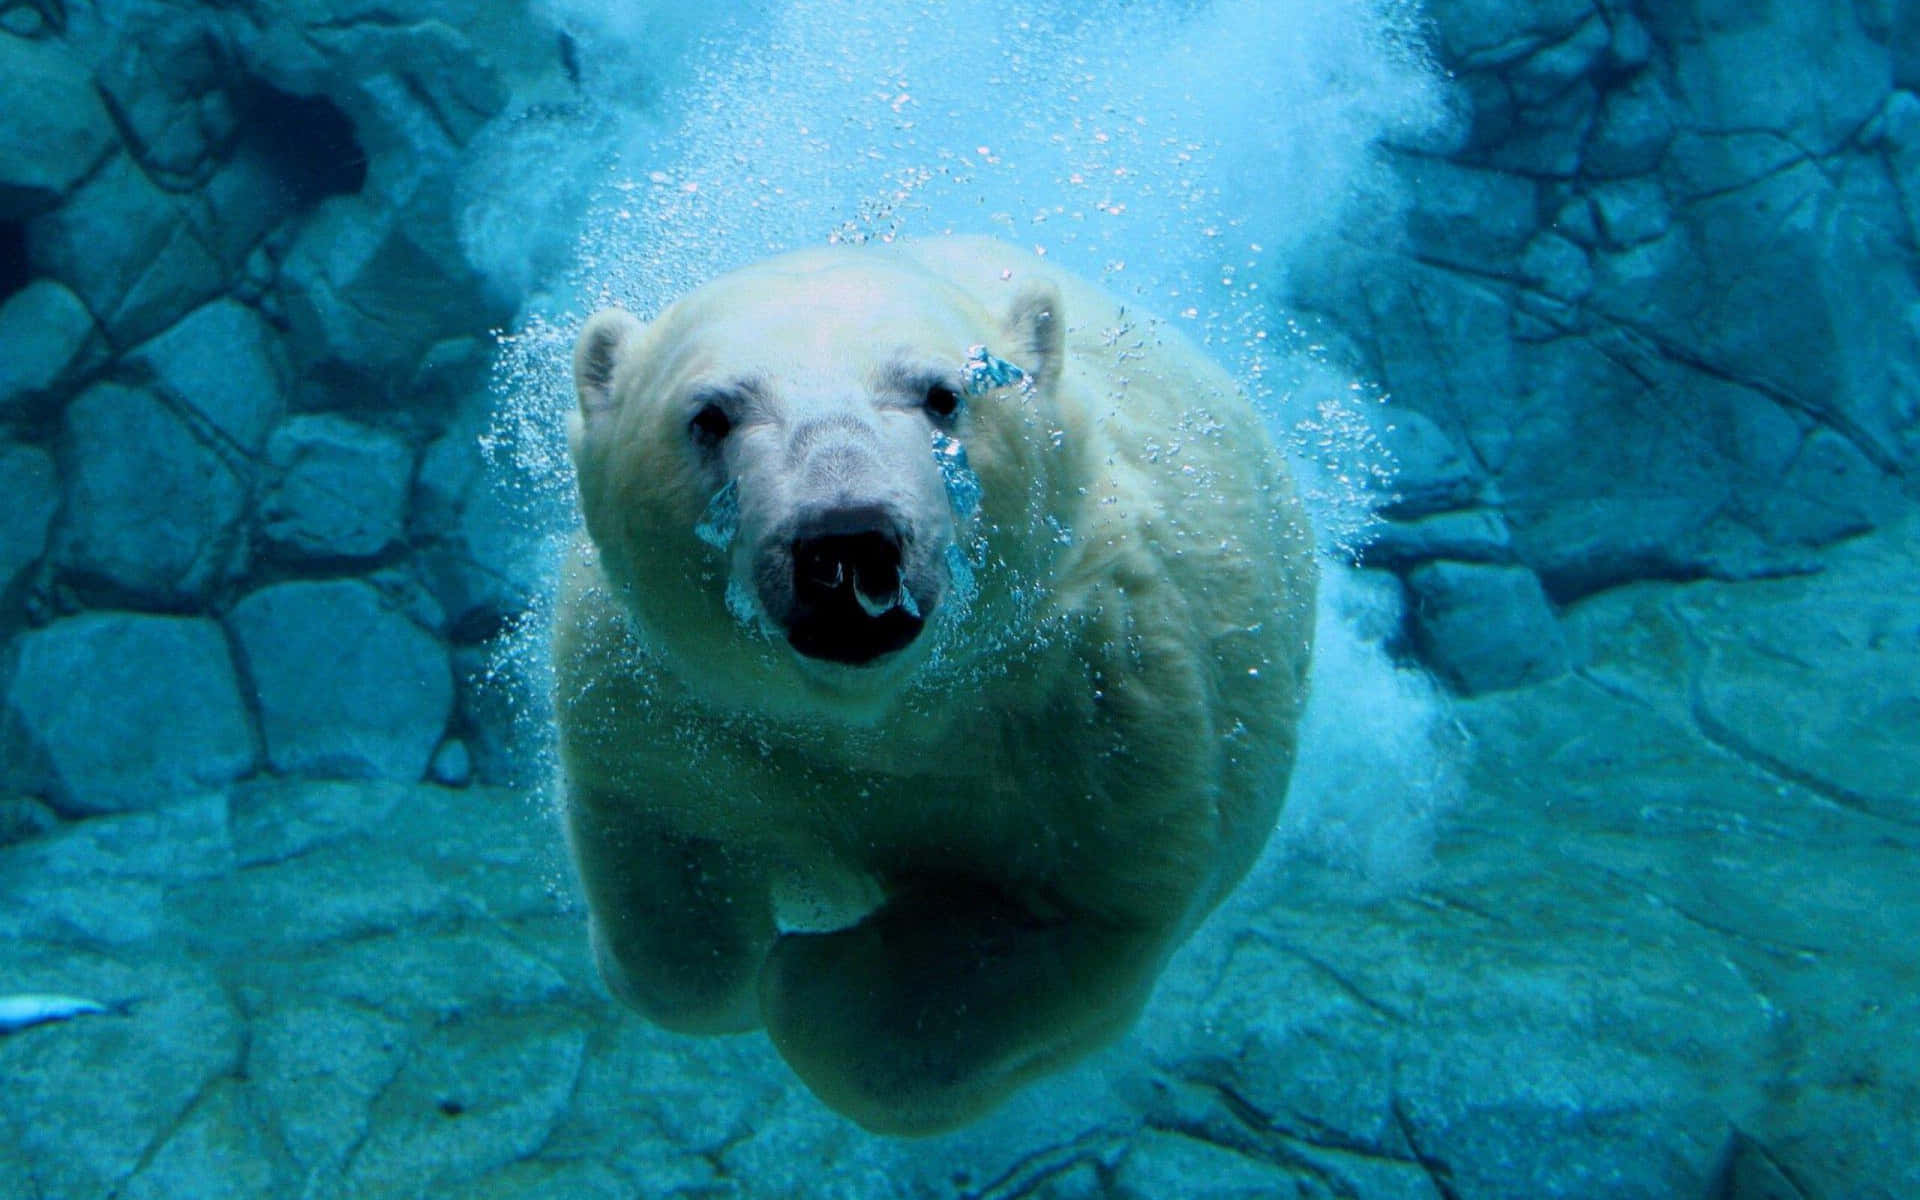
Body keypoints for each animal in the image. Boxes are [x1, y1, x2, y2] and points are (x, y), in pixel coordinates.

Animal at [556, 235, 1316, 1136]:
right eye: (709, 415)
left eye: (944, 394)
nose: (845, 541)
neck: (880, 715)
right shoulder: (665, 698)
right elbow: (663, 866)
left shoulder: (1099, 713)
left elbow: (1061, 929)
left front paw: (812, 976)